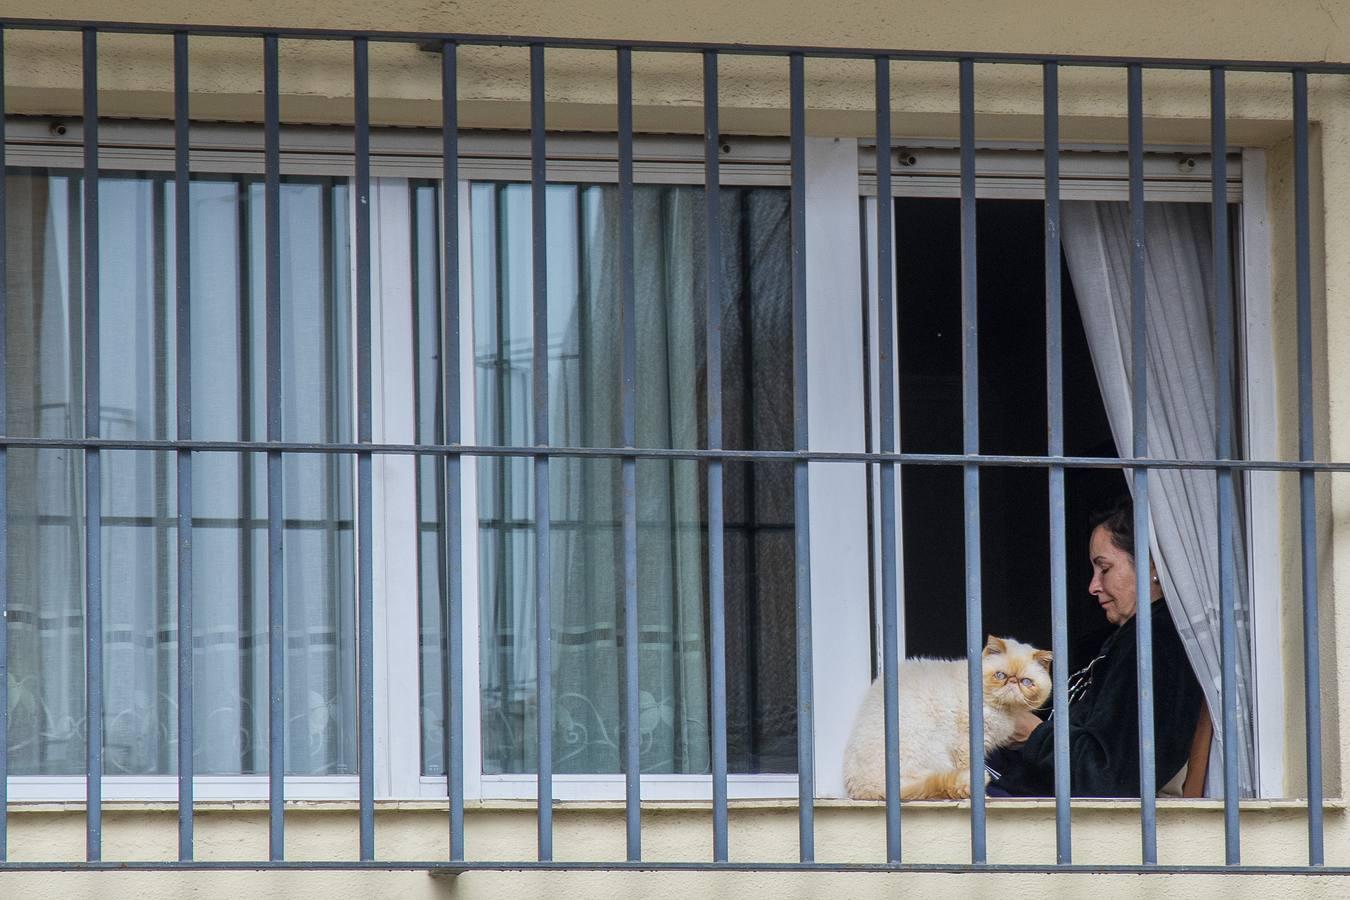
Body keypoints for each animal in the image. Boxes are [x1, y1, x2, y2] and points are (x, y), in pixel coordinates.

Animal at [842, 636, 1053, 798]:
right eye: (1000, 676)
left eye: (1026, 682)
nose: (1013, 683)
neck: (1002, 710)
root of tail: (864, 788)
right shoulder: (967, 744)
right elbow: (970, 770)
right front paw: (984, 797)